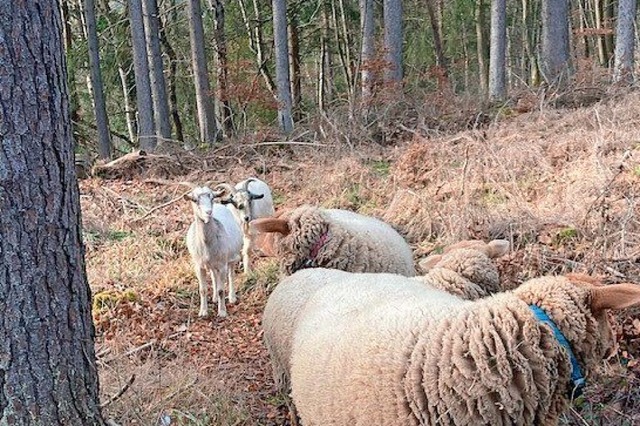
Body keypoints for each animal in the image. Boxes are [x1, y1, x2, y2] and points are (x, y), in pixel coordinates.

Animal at [188, 185, 245, 318]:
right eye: (195, 200)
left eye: (212, 198)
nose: (208, 212)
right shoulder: (199, 266)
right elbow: (202, 290)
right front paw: (203, 312)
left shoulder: (222, 265)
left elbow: (221, 290)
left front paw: (222, 312)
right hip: (212, 264)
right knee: (214, 276)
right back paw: (214, 299)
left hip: (231, 258)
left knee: (231, 275)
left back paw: (232, 298)